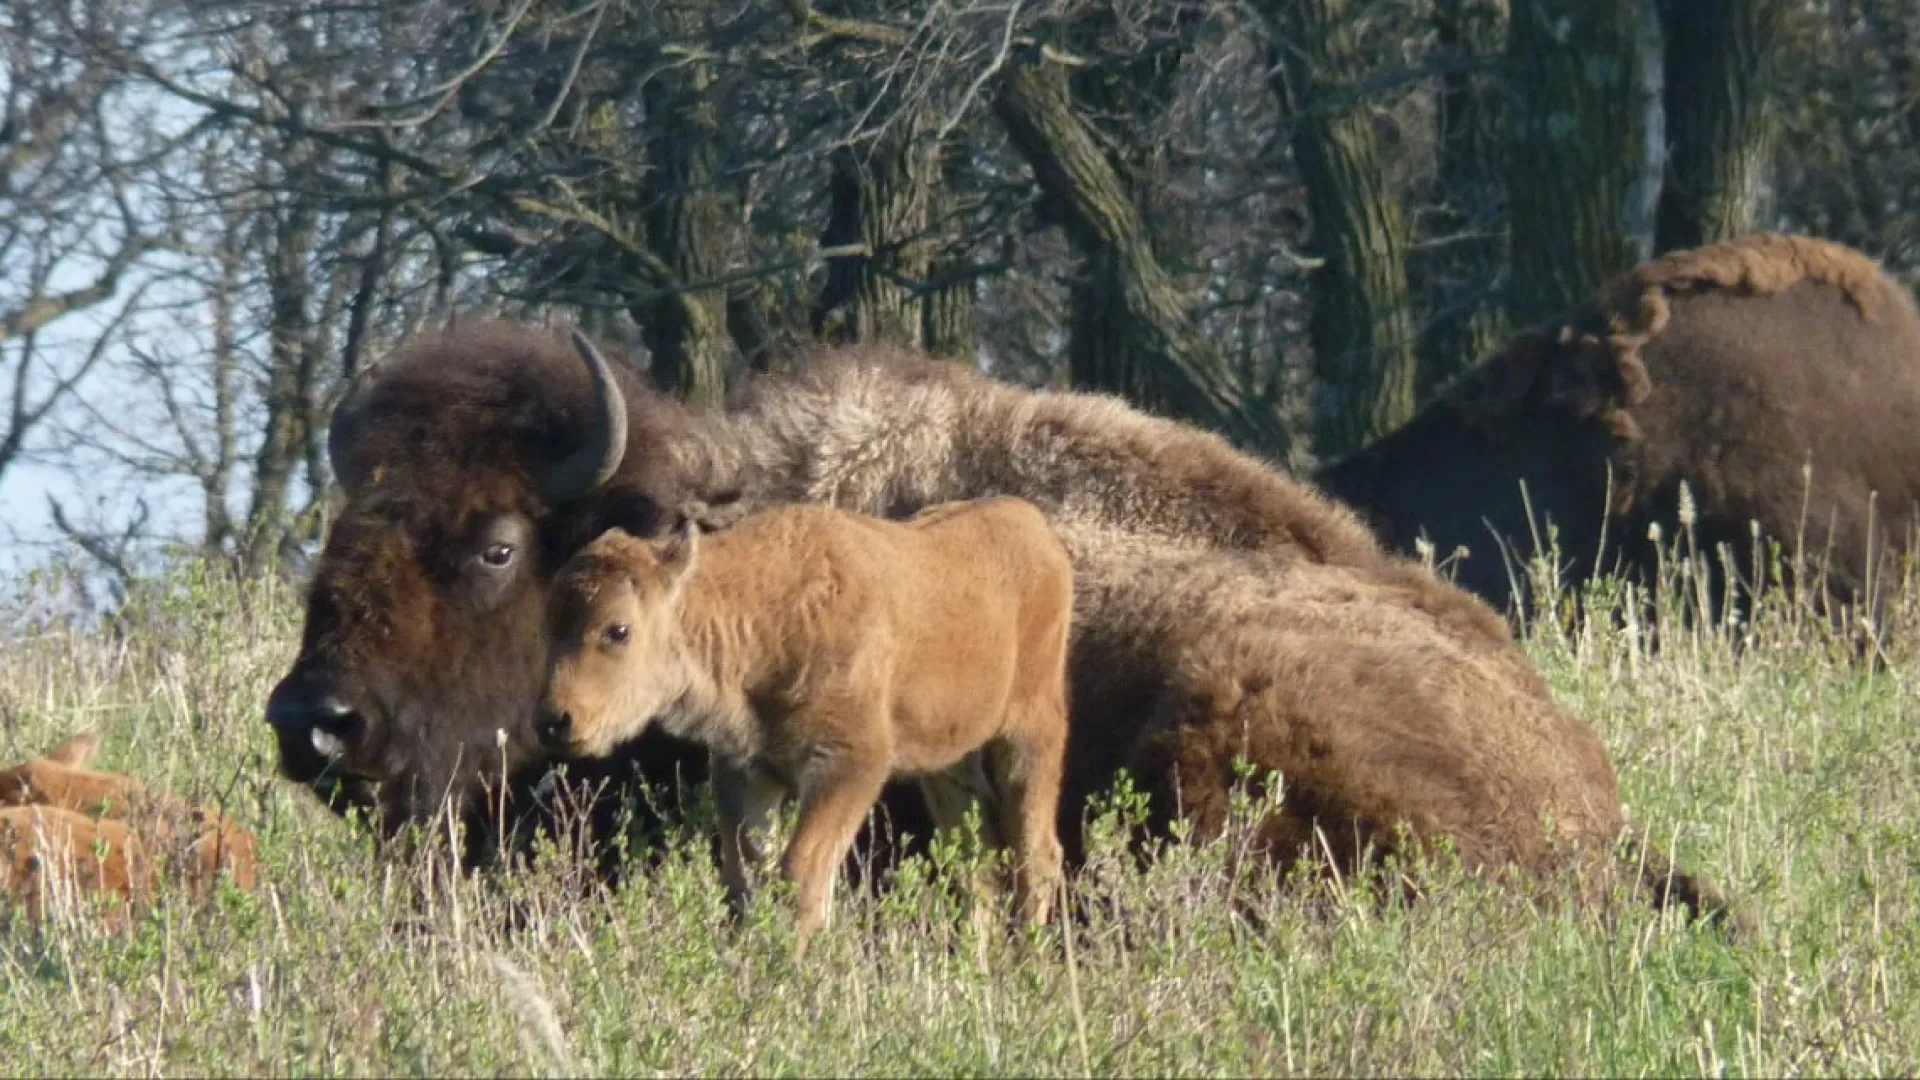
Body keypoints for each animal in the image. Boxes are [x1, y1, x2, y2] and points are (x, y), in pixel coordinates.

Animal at [538, 497, 1074, 950]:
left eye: (618, 629)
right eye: (548, 625)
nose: (555, 721)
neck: (760, 615)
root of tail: (1041, 535)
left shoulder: (847, 766)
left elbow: (801, 878)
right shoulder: (746, 773)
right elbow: (745, 879)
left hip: (1030, 736)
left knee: (1037, 857)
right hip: (949, 766)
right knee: (977, 862)